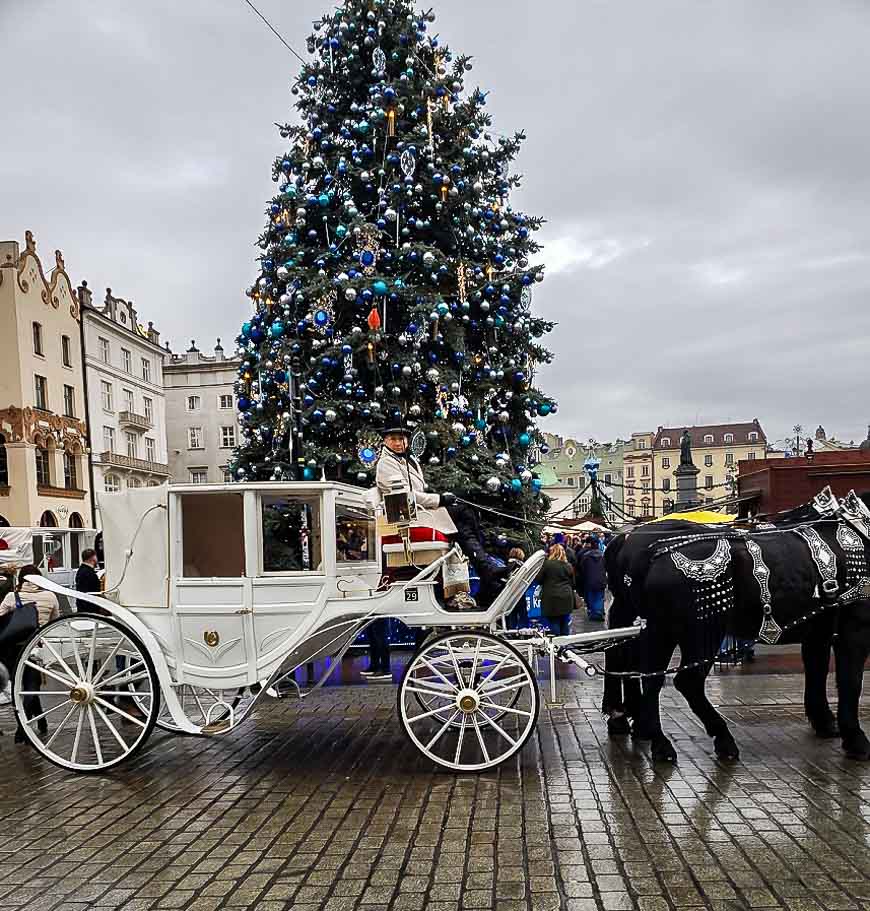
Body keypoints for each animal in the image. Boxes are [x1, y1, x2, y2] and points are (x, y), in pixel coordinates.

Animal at [604, 492, 870, 764]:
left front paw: (825, 722)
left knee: (648, 675)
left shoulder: (818, 632)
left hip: (659, 628)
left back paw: (651, 735)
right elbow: (850, 680)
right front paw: (855, 738)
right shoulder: (855, 628)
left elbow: (817, 672)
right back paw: (718, 738)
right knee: (686, 681)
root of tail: (651, 553)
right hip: (702, 632)